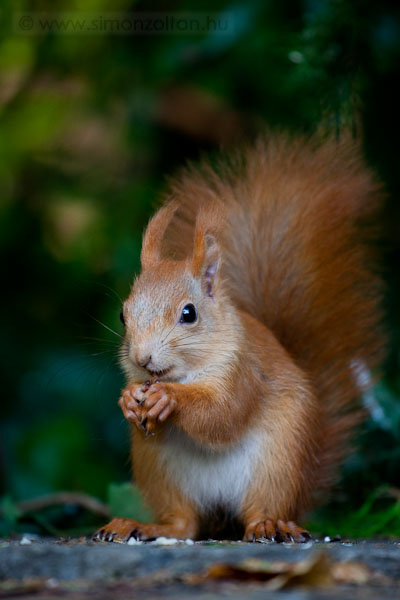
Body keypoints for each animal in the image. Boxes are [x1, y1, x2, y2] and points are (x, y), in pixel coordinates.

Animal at [94, 132, 384, 544]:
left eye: (189, 314)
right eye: (123, 313)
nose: (142, 358)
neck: (185, 373)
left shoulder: (244, 371)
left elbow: (222, 414)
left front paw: (168, 399)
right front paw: (128, 399)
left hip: (276, 465)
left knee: (257, 510)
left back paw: (268, 525)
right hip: (161, 469)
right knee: (183, 524)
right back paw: (140, 525)